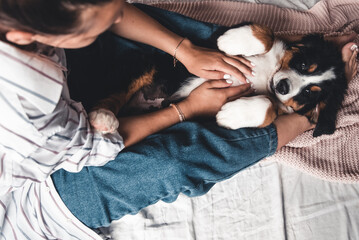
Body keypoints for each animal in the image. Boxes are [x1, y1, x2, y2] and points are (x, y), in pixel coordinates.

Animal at [87, 24, 348, 138]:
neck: (270, 74)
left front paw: (230, 115)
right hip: (147, 63)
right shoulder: (210, 45)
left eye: (310, 93)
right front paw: (229, 41)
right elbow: (267, 35)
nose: (283, 86)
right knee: (115, 91)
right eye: (303, 65)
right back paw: (103, 116)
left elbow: (269, 106)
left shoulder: (277, 103)